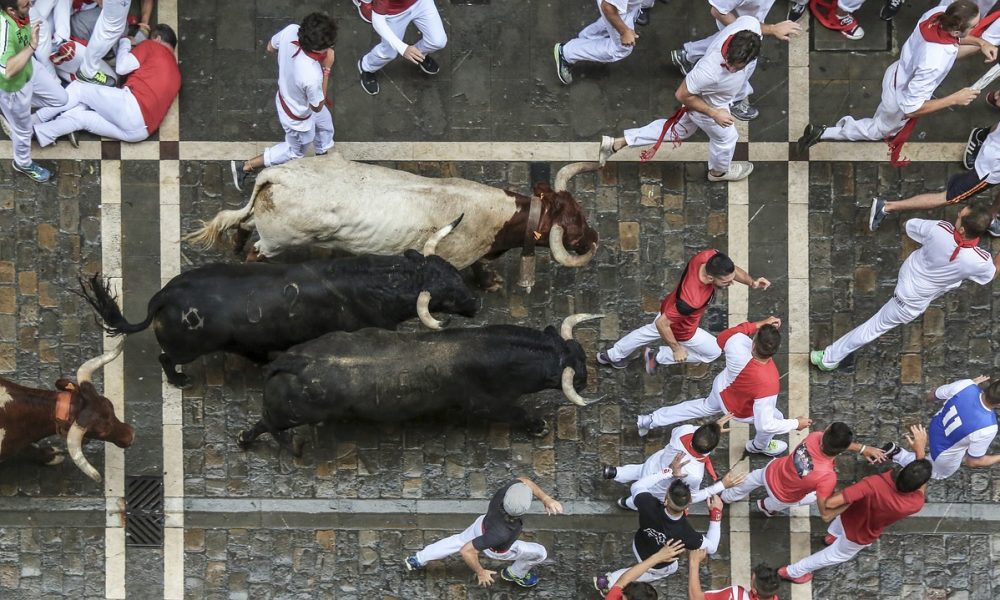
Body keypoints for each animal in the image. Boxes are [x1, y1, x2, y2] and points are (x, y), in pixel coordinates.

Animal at [80, 250, 478, 386]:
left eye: (454, 272)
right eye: (447, 294)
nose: (475, 303)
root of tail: (165, 296)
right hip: (186, 349)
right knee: (166, 359)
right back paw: (180, 381)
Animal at [184, 155, 596, 290]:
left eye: (580, 211)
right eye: (574, 224)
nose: (594, 236)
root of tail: (276, 176)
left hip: (263, 222)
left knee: (242, 226)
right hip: (276, 241)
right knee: (255, 252)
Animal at [238, 314, 604, 450]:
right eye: (576, 371)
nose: (587, 378)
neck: (484, 348)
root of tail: (293, 360)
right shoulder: (488, 404)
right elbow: (518, 413)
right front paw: (538, 426)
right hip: (292, 414)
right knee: (266, 423)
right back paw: (247, 439)